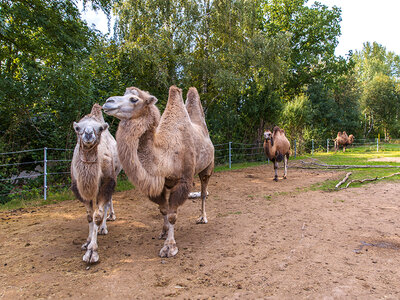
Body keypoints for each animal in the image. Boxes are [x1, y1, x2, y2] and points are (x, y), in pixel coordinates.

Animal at [70, 103, 121, 262]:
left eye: (99, 128)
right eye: (77, 128)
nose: (88, 134)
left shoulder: (107, 182)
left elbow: (97, 215)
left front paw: (92, 252)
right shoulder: (80, 188)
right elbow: (89, 216)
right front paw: (87, 242)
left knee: (107, 203)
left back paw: (105, 225)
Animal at [103, 85, 216, 258]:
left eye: (134, 99)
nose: (108, 101)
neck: (165, 153)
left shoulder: (182, 181)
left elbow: (172, 215)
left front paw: (169, 247)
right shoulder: (160, 183)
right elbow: (163, 210)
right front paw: (163, 232)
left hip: (208, 167)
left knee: (204, 192)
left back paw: (202, 218)